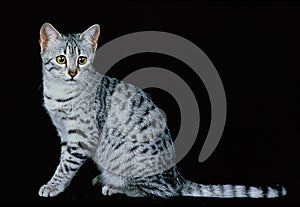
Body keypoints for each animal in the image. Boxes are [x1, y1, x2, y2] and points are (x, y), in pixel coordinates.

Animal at [37, 23, 286, 199]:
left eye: (81, 60)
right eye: (61, 59)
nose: (72, 73)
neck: (59, 93)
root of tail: (176, 177)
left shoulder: (82, 136)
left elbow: (66, 165)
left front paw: (53, 186)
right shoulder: (64, 133)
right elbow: (63, 159)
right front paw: (55, 184)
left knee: (161, 192)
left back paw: (115, 187)